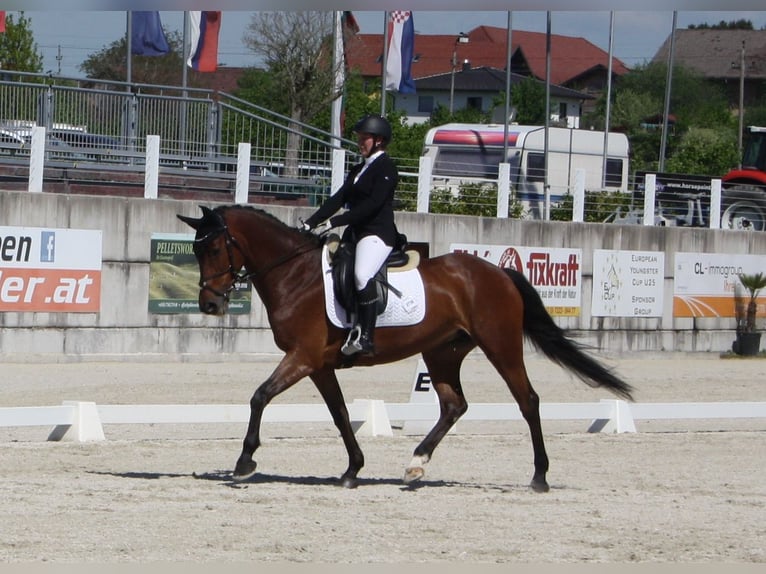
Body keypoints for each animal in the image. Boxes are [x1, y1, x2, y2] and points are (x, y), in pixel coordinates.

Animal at [177, 205, 632, 492]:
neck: (295, 275)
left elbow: (260, 396)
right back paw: (415, 464)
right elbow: (340, 414)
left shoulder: (302, 357)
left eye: (213, 248)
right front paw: (352, 470)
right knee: (454, 405)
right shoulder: (319, 365)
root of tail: (499, 272)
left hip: (500, 345)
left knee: (528, 400)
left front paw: (244, 462)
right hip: (443, 352)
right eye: (196, 250)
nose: (210, 305)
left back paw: (539, 476)